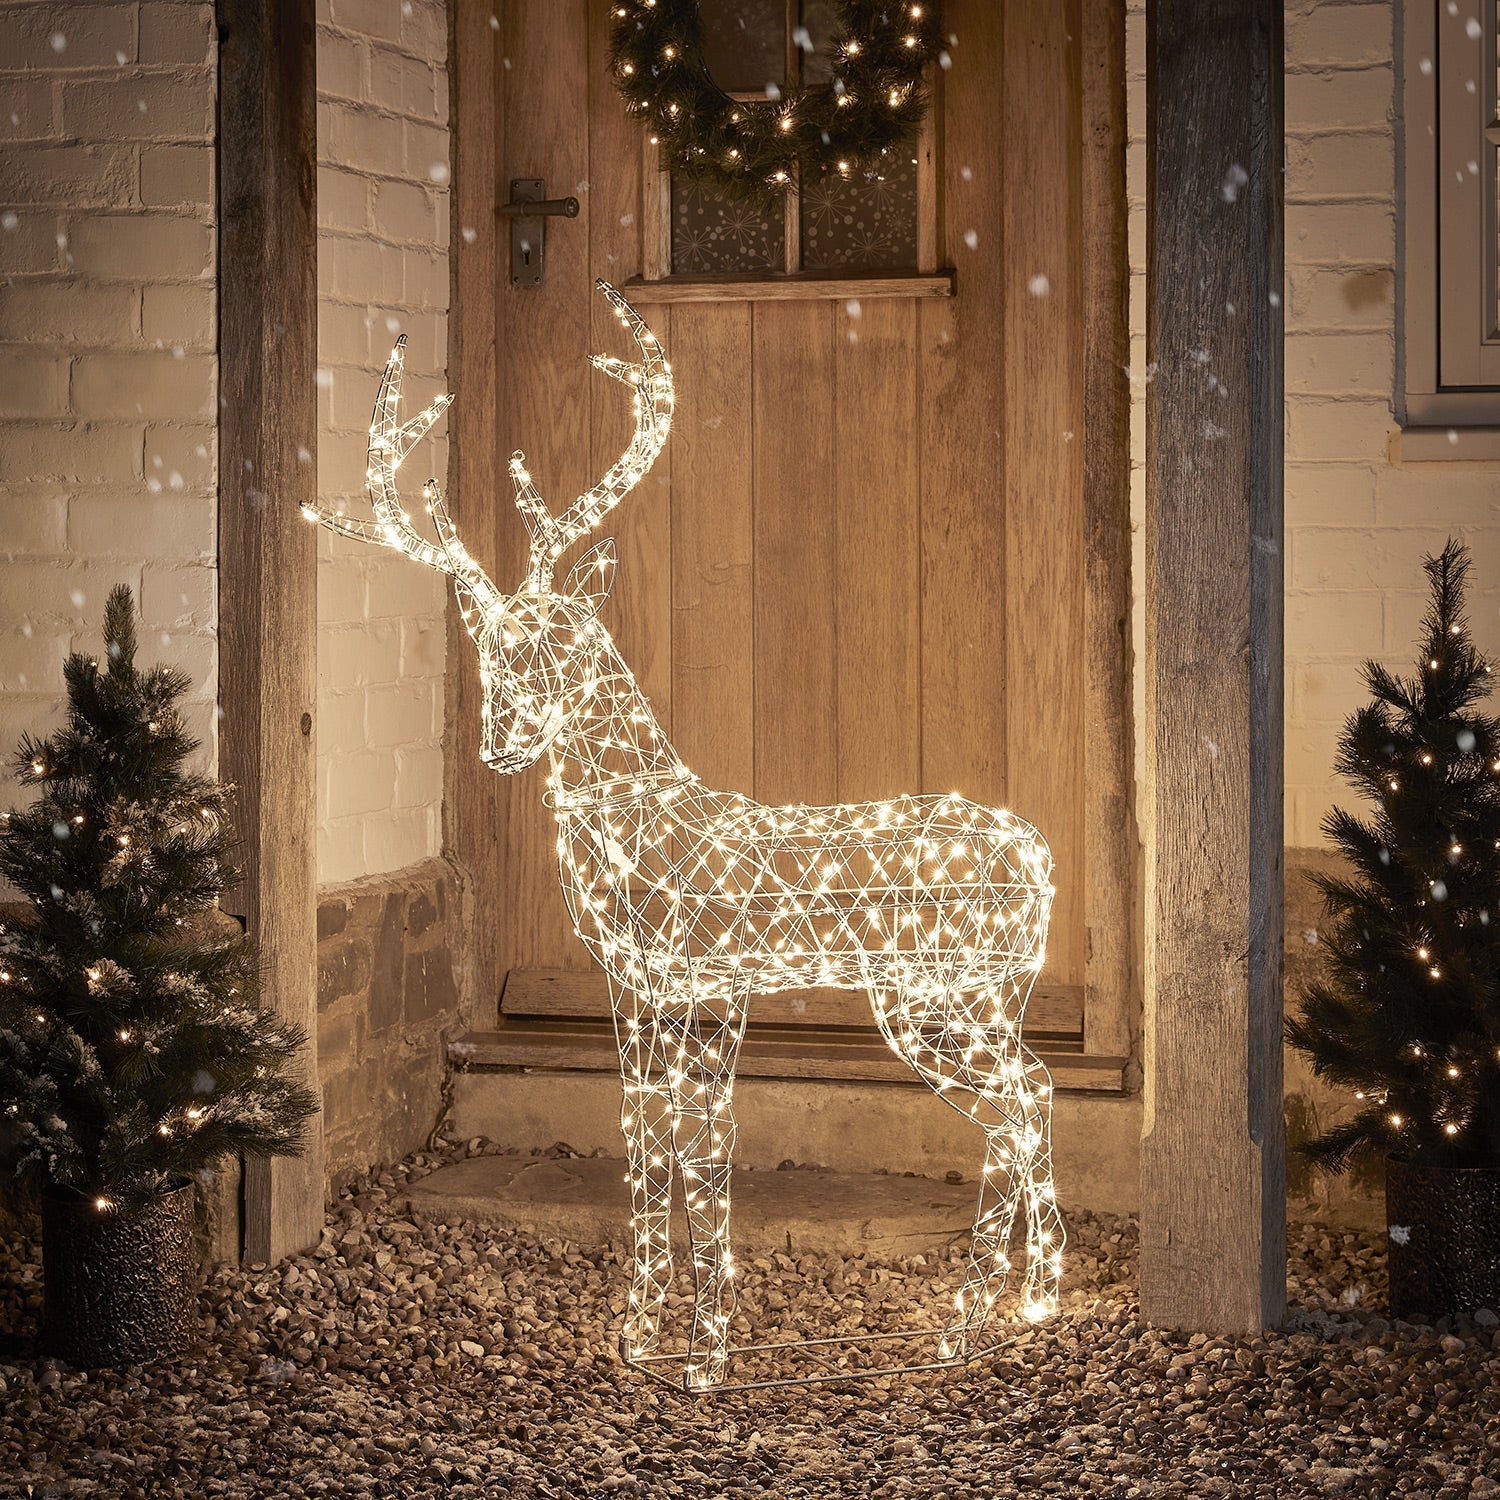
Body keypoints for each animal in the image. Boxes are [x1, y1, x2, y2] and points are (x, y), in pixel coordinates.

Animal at [307, 281, 1063, 1390]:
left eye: (565, 639)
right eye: (490, 650)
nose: (500, 741)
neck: (643, 824)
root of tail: (1044, 860)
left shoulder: (700, 983)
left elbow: (697, 1150)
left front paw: (704, 1351)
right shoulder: (639, 990)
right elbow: (647, 1143)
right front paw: (642, 1331)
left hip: (944, 991)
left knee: (1022, 1100)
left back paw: (979, 1317)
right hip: (960, 997)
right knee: (1031, 1096)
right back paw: (1022, 1306)